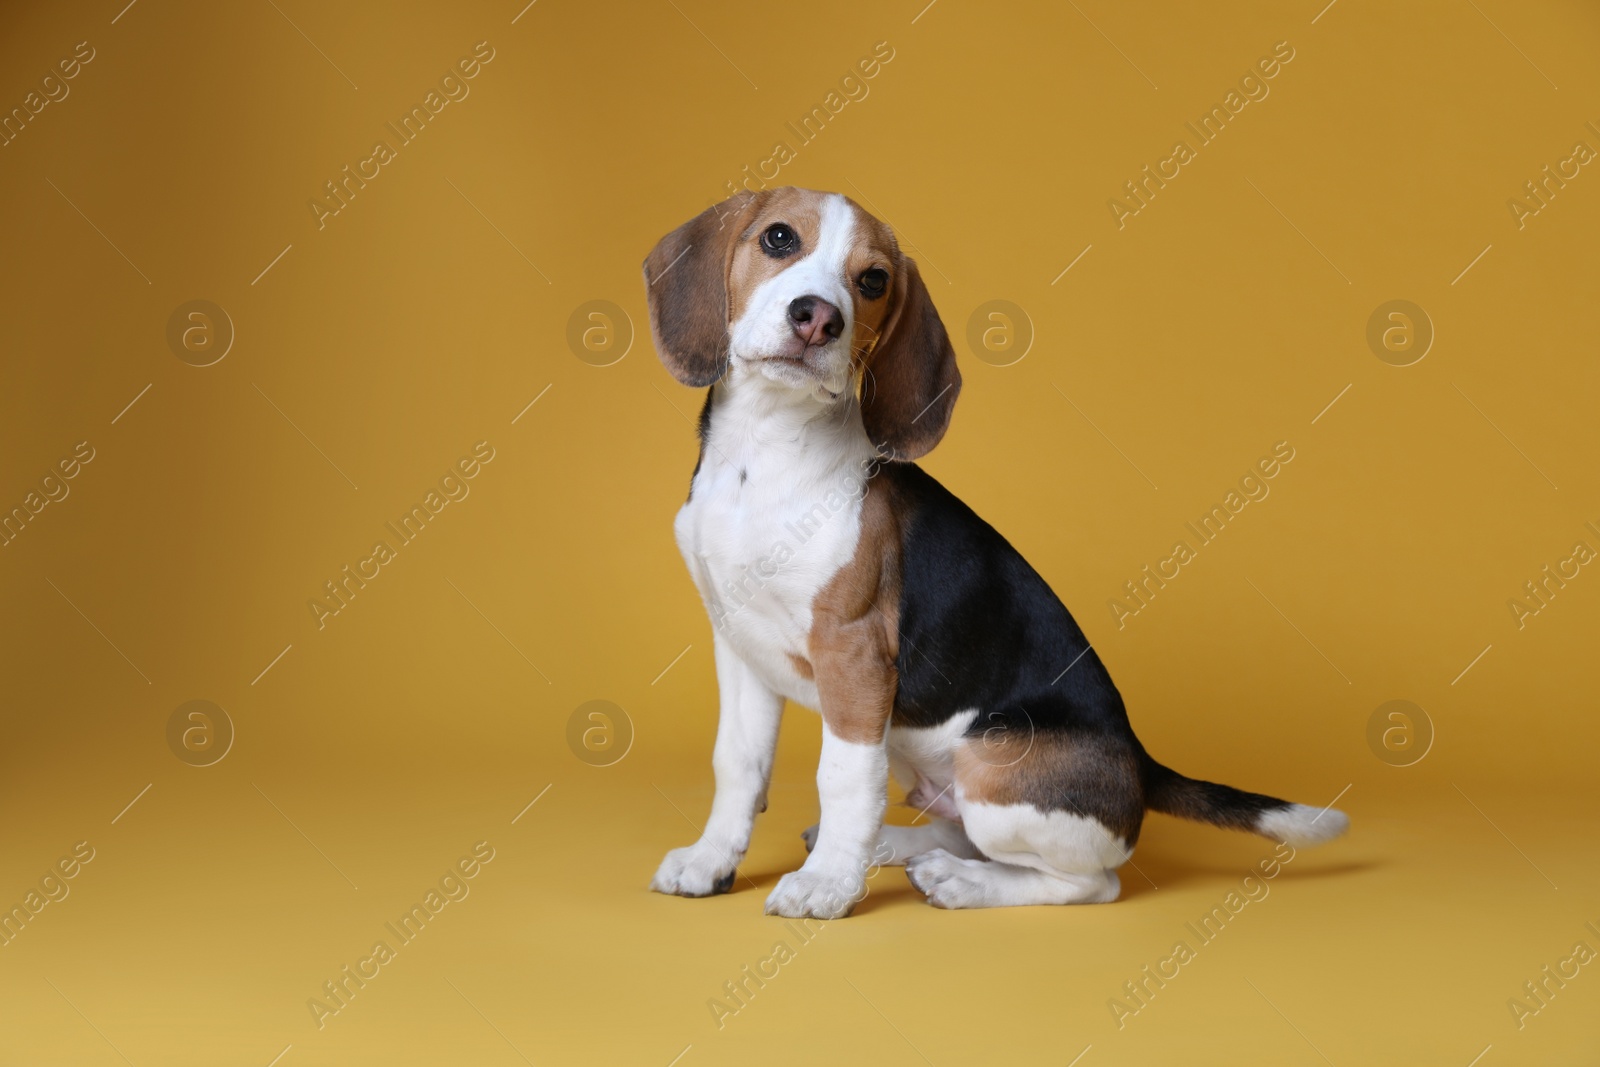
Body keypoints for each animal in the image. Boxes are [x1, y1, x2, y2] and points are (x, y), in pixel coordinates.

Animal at [643, 185, 1344, 921]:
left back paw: (958, 879)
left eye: (873, 281)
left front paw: (827, 884)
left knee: (1090, 881)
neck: (765, 448)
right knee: (954, 828)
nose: (818, 319)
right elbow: (737, 764)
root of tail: (1140, 762)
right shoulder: (739, 643)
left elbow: (842, 776)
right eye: (778, 238)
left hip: (991, 767)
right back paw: (900, 846)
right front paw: (712, 860)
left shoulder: (854, 654)